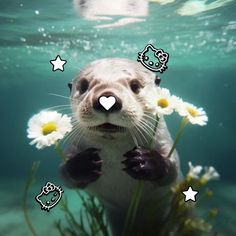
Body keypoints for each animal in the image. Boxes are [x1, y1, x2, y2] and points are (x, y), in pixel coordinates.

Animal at [59, 57, 181, 236]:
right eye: (83, 86)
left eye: (135, 85)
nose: (107, 99)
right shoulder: (71, 146)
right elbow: (64, 173)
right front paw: (84, 164)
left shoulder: (164, 139)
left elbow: (172, 169)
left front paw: (144, 161)